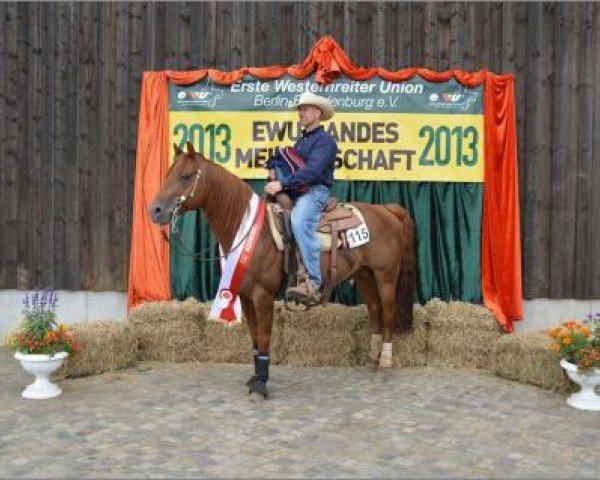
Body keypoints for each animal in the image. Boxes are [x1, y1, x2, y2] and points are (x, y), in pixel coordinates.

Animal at [150, 142, 414, 398]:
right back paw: (372, 361)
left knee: (388, 313)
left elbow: (265, 337)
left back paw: (384, 364)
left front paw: (261, 384)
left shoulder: (262, 295)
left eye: (185, 176)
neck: (252, 232)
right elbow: (255, 338)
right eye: (168, 173)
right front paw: (255, 377)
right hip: (365, 276)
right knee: (375, 311)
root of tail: (388, 210)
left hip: (386, 277)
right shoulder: (246, 296)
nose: (154, 210)